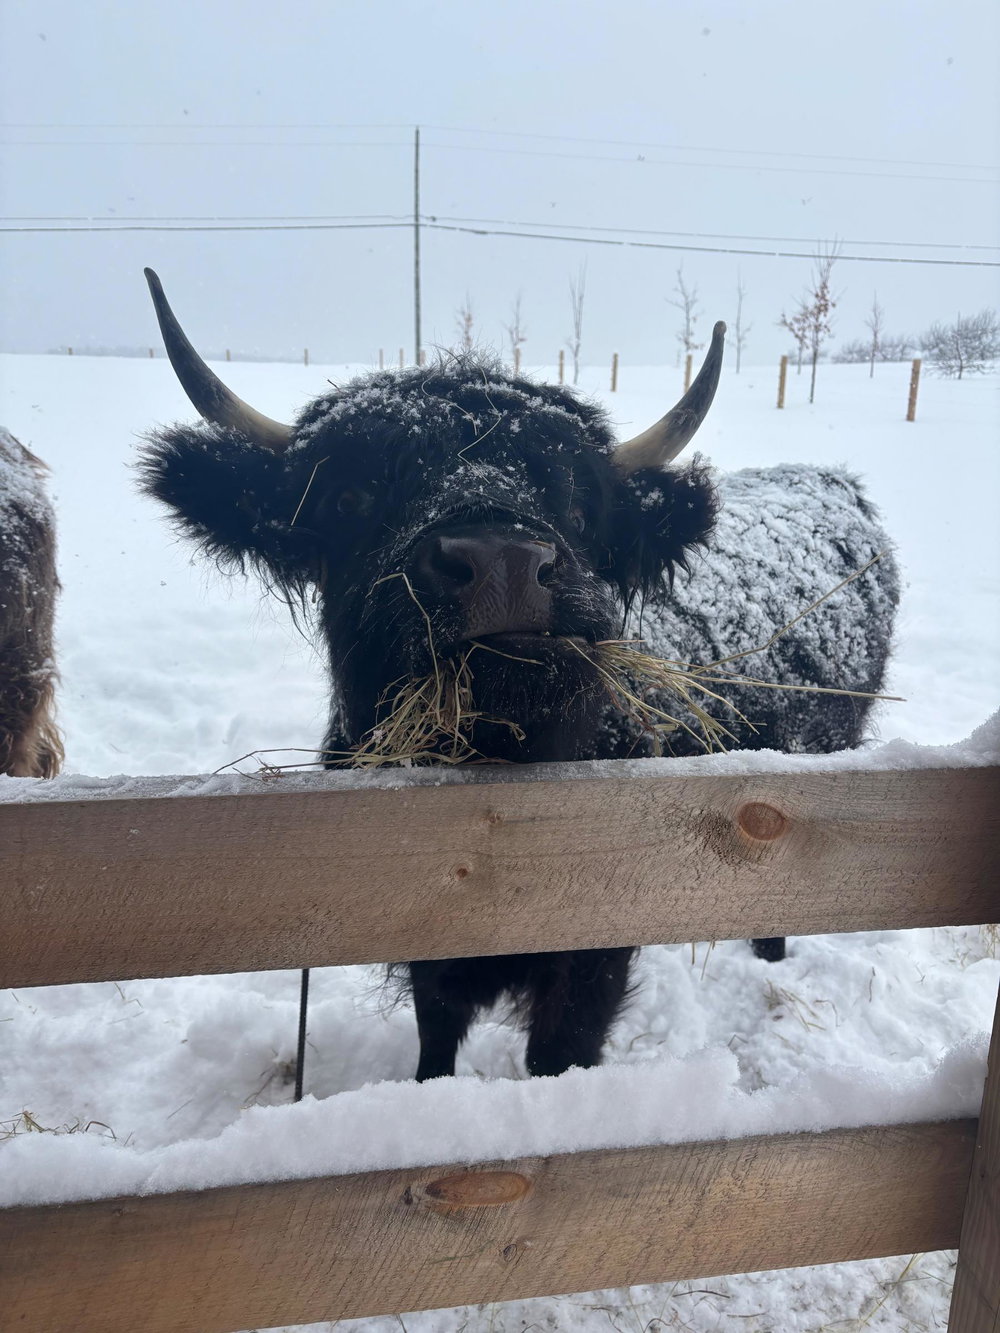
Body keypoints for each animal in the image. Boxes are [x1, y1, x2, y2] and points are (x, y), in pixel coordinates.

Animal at [139, 269, 898, 1080]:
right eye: (351, 495)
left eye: (578, 501)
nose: (501, 559)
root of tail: (830, 482)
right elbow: (435, 1038)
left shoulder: (594, 952)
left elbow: (559, 1054)